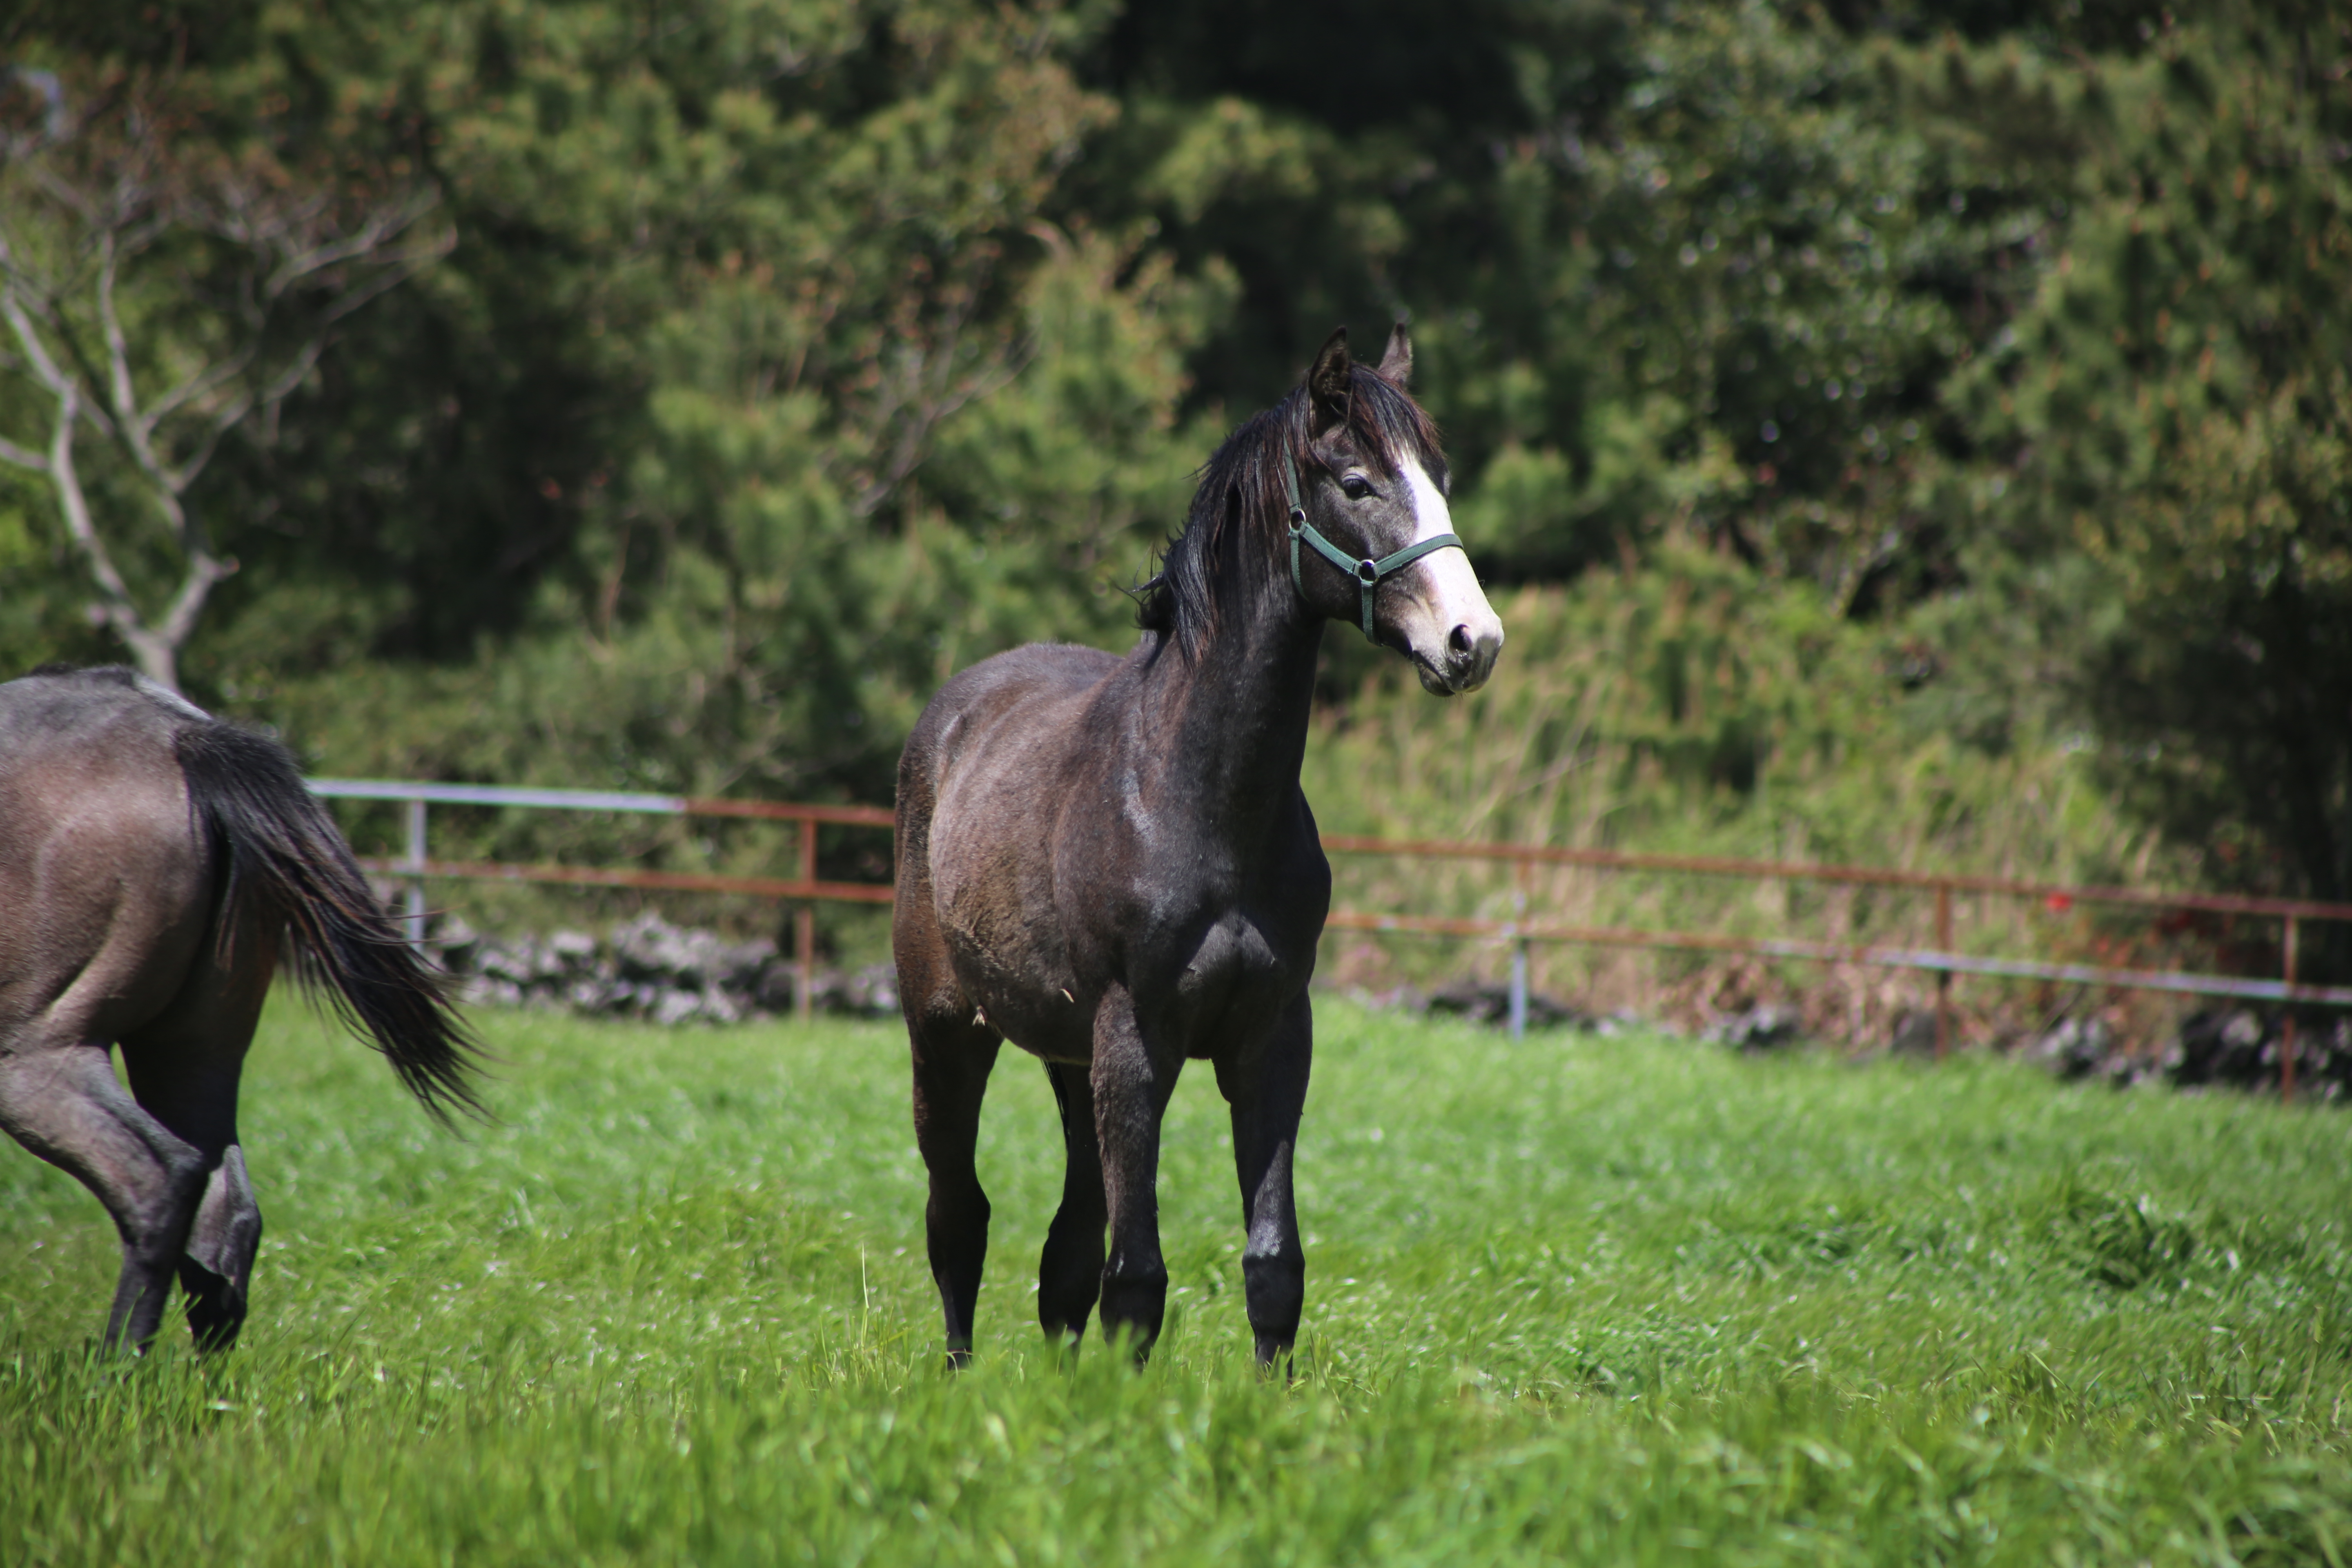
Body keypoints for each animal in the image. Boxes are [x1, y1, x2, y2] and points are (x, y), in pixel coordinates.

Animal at [0, 663, 477, 1354]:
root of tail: (182, 739)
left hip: (37, 1054)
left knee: (157, 1182)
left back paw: (116, 1370)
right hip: (193, 1054)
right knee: (227, 1212)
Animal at [898, 324, 1505, 1363]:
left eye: (1439, 476)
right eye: (1356, 483)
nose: (1473, 640)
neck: (1197, 803)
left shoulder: (1272, 1036)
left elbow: (1270, 1268)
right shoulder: (1136, 1041)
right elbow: (1136, 1278)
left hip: (1068, 1059)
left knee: (1065, 1243)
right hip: (947, 1033)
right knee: (958, 1217)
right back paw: (958, 1376)